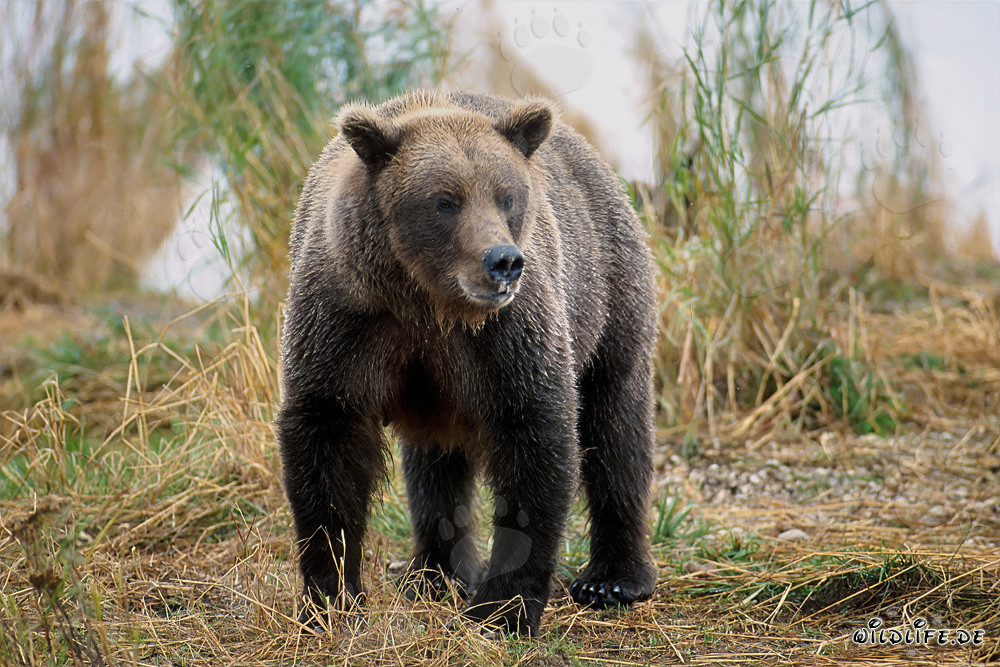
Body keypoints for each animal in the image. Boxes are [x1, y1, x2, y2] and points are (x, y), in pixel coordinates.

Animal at [276, 90, 658, 636]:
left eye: (506, 196)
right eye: (445, 200)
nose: (503, 261)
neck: (429, 303)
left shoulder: (509, 336)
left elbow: (534, 435)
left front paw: (502, 608)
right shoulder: (348, 322)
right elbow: (327, 440)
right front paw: (330, 598)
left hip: (608, 293)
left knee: (615, 428)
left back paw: (613, 580)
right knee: (435, 468)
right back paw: (433, 574)